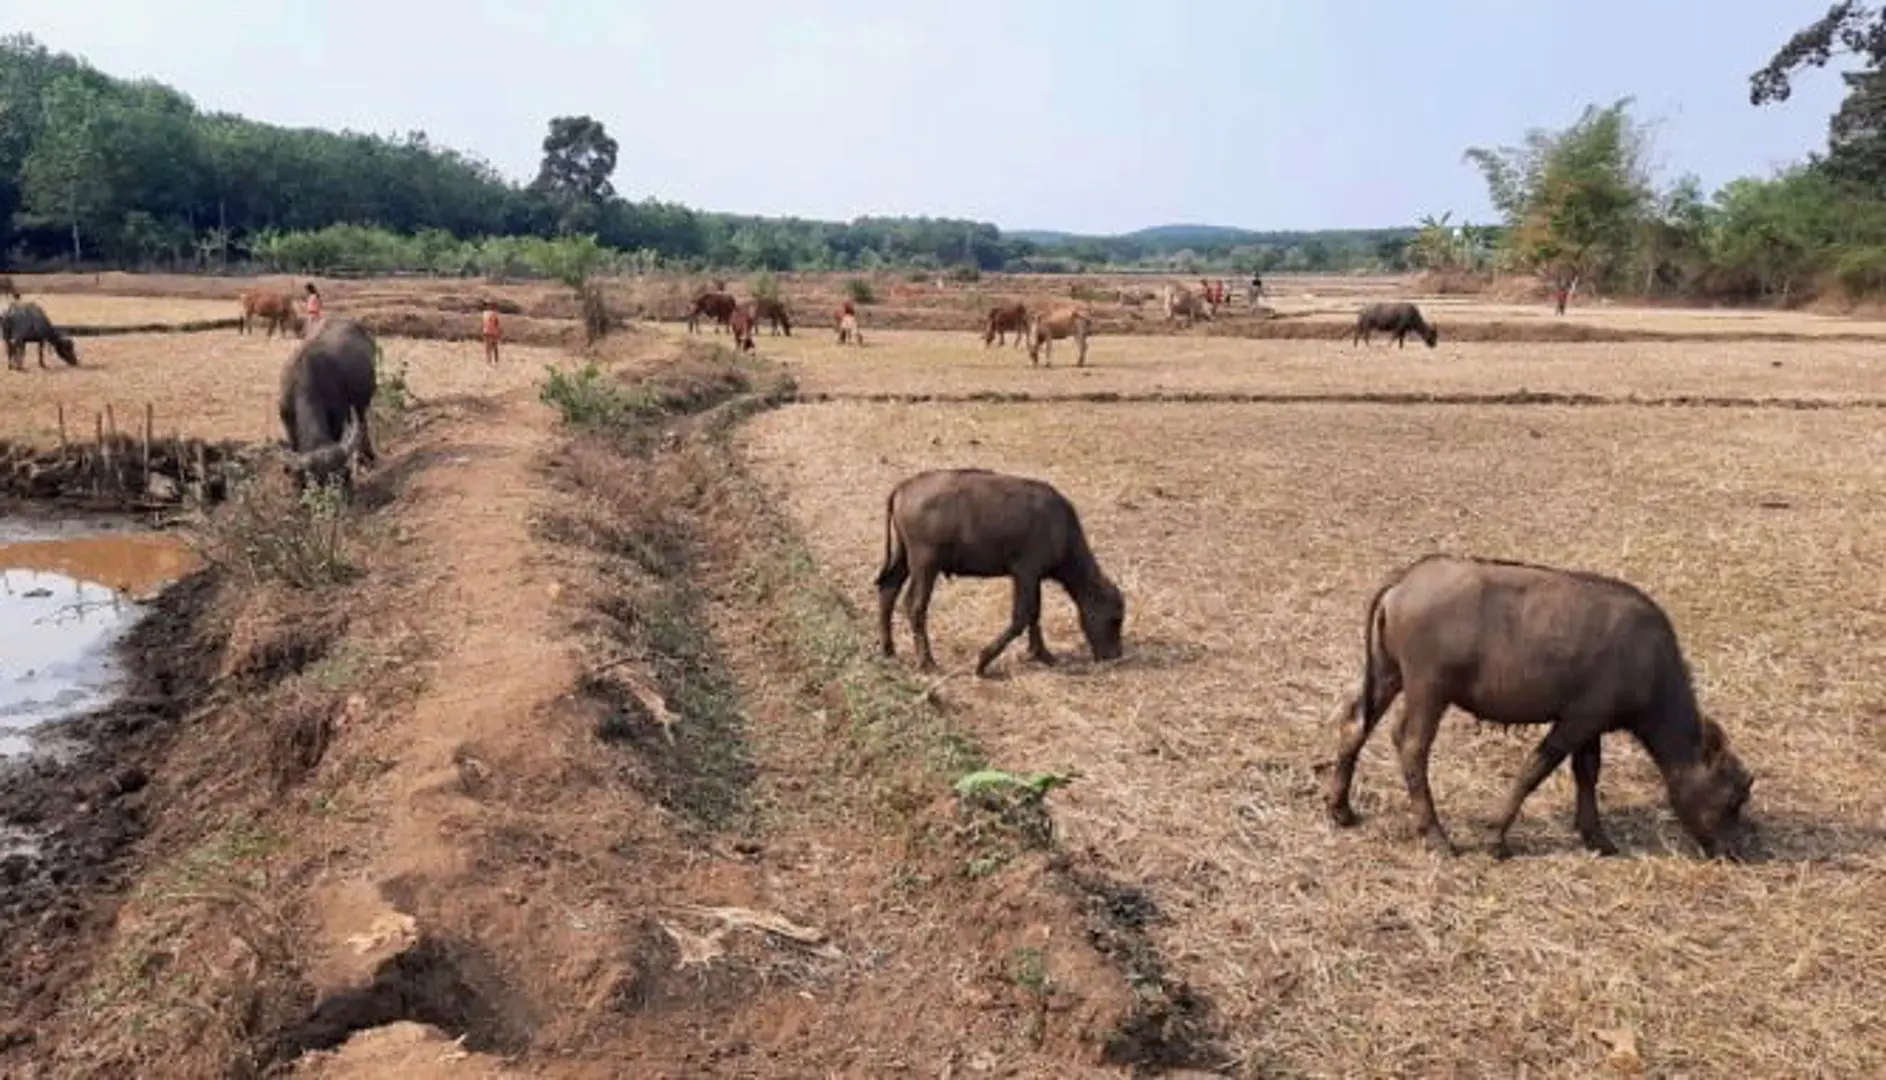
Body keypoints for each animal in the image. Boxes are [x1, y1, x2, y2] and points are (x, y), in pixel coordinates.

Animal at [279, 316, 379, 493]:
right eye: (318, 481)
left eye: (343, 475)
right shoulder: (288, 425)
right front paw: (298, 486)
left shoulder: (339, 417)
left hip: (361, 403)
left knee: (363, 425)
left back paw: (366, 459)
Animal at [875, 463, 1124, 674]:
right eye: (1115, 619)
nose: (1115, 656)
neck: (1060, 528)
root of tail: (905, 486)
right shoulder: (1026, 574)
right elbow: (1021, 617)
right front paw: (983, 661)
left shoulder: (1032, 578)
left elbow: (1034, 614)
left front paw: (1042, 654)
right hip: (925, 565)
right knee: (915, 605)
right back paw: (927, 662)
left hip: (904, 557)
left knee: (888, 588)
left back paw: (888, 649)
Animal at [1327, 554, 1750, 859]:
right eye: (1733, 799)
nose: (1733, 851)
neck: (1649, 664)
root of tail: (1406, 580)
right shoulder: (1575, 721)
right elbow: (1535, 770)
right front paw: (1497, 838)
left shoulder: (1591, 726)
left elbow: (1587, 773)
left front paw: (1597, 837)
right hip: (1428, 689)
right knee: (1412, 746)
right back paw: (1436, 836)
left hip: (1388, 675)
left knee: (1355, 724)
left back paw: (1340, 809)